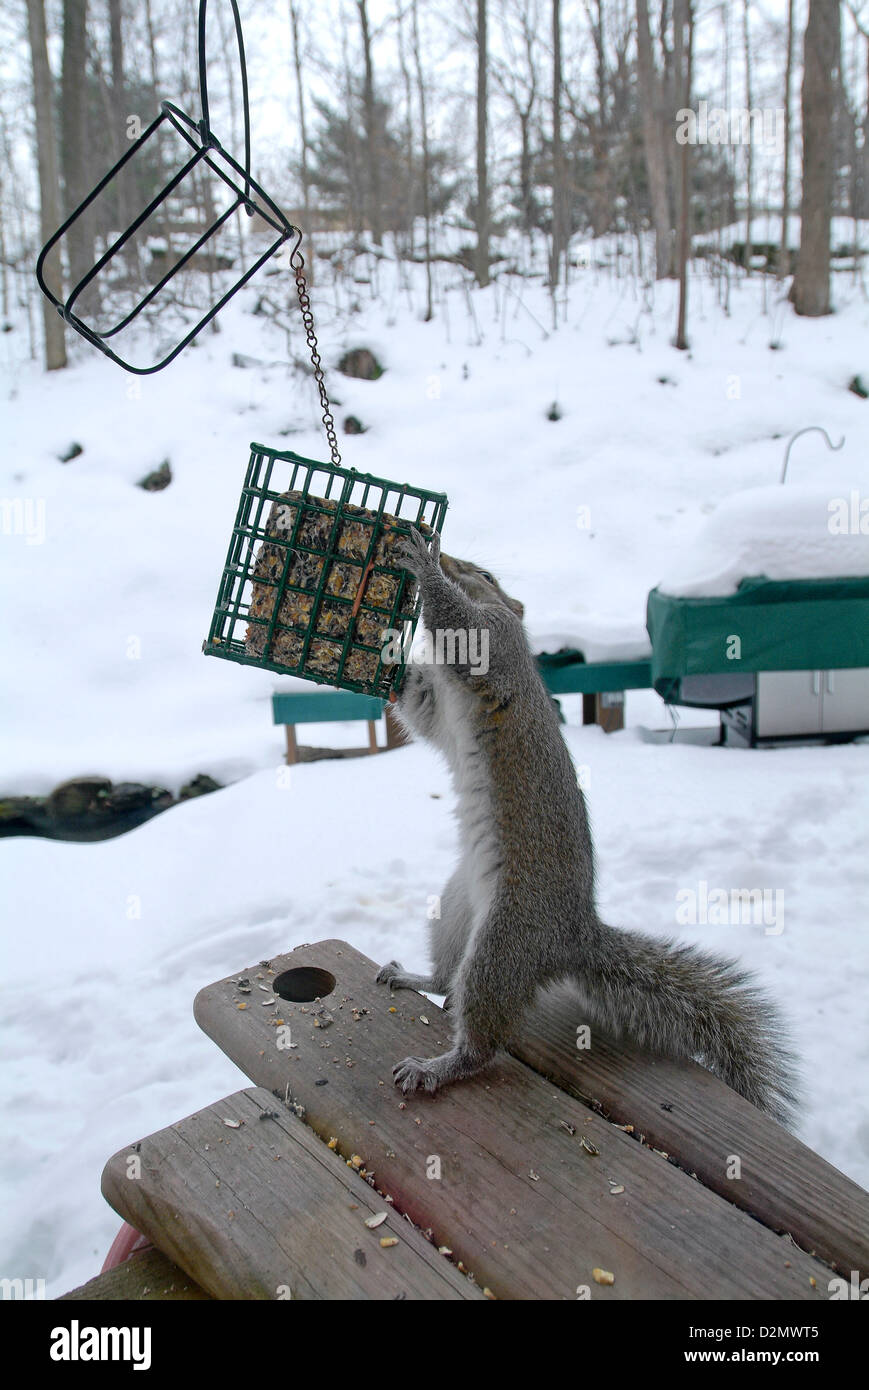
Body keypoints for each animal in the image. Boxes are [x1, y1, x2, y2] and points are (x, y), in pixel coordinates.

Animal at [376, 527, 800, 1125]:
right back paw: (411, 976)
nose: (449, 554)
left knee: (483, 1036)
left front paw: (422, 566)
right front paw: (390, 647)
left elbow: (464, 630)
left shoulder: (496, 640)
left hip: (506, 939)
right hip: (455, 912)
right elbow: (418, 705)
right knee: (445, 979)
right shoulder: (437, 705)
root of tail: (572, 935)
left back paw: (438, 1068)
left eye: (485, 574)